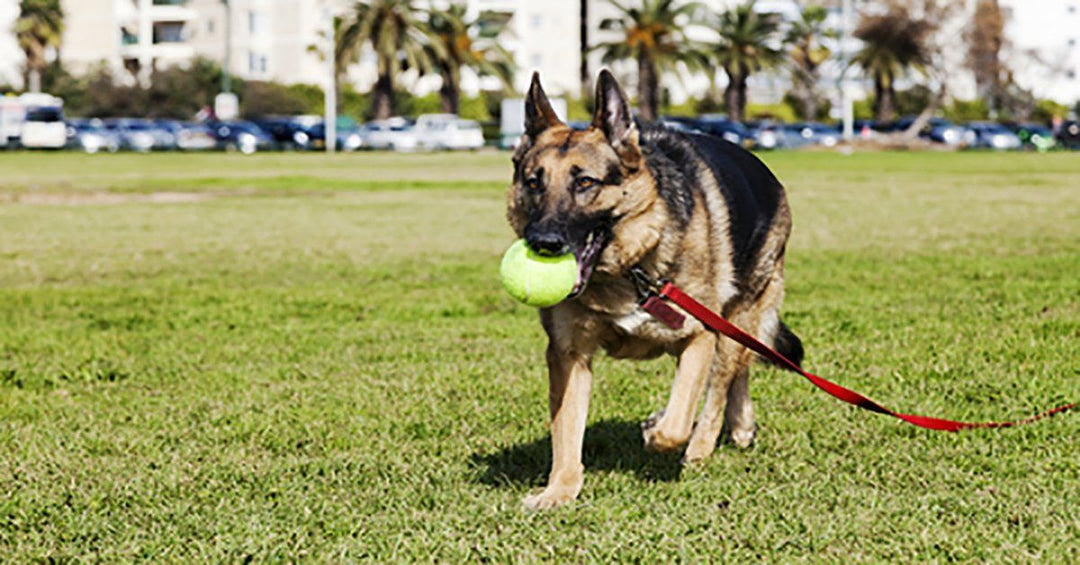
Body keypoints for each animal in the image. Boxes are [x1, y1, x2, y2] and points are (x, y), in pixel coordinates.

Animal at [505, 69, 803, 507]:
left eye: (586, 182)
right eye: (533, 183)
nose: (543, 242)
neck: (629, 271)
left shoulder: (701, 335)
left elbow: (678, 422)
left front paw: (658, 430)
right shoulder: (568, 356)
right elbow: (566, 432)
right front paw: (559, 489)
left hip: (735, 318)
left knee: (720, 387)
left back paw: (701, 447)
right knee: (740, 371)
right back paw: (741, 424)